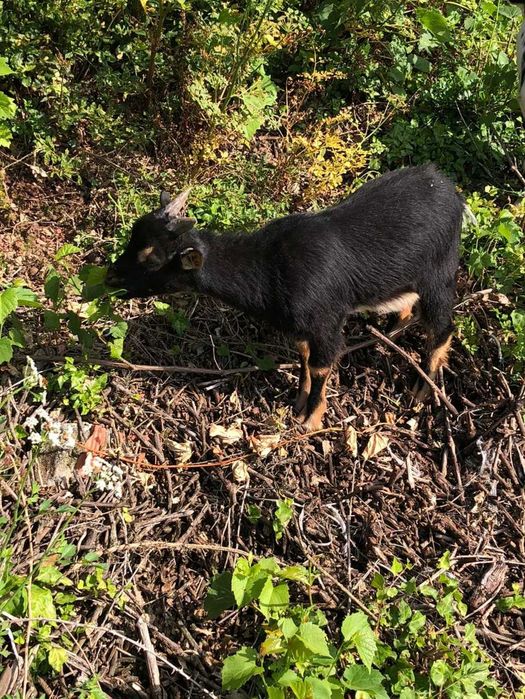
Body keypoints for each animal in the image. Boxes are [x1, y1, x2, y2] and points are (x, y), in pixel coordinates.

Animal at [106, 164, 463, 430]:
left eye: (152, 259)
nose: (110, 277)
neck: (269, 265)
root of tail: (448, 188)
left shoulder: (325, 322)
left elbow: (320, 366)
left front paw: (311, 420)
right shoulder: (301, 328)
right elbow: (304, 357)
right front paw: (298, 402)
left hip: (439, 273)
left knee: (442, 327)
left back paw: (421, 387)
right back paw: (392, 331)